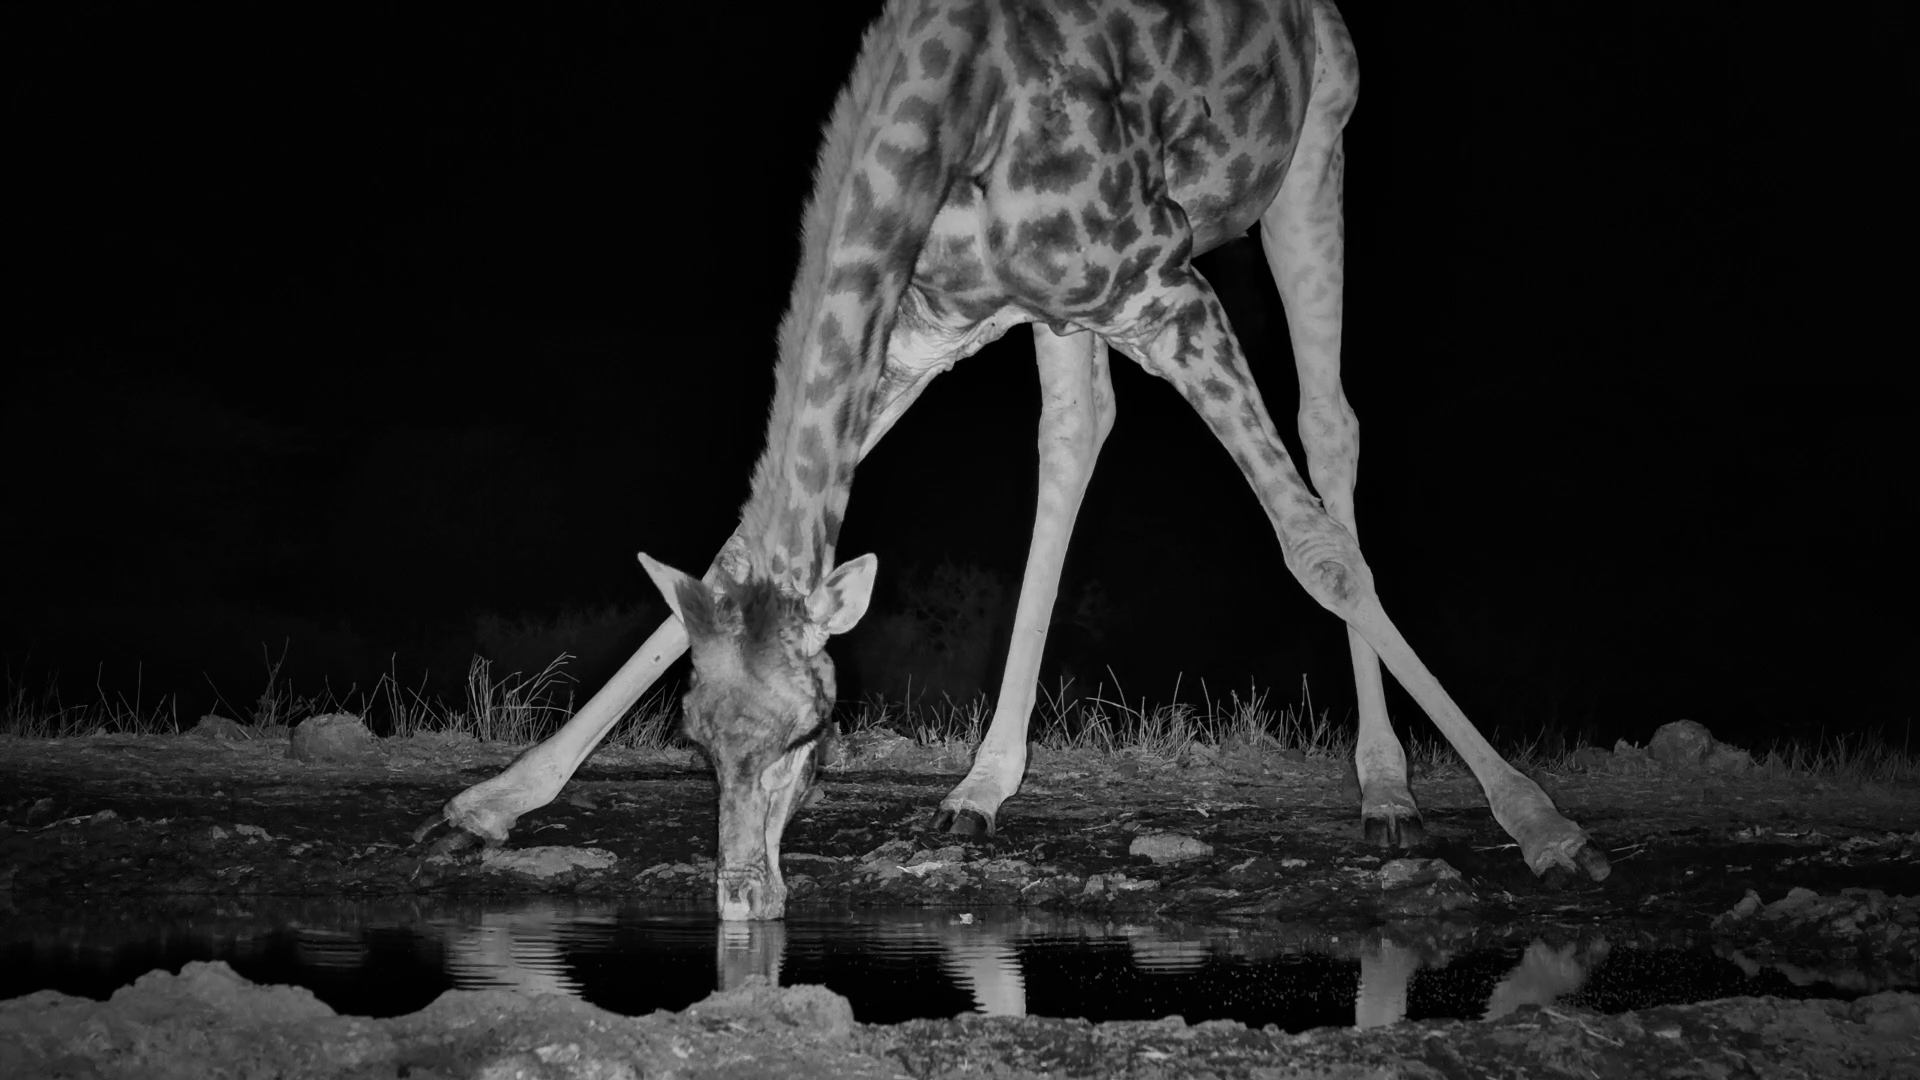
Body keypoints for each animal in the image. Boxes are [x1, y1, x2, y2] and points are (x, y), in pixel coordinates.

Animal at [418, 0, 1611, 920]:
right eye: (694, 742)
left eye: (814, 732)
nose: (743, 900)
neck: (953, 107)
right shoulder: (928, 325)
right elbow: (721, 562)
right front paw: (487, 805)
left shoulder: (1170, 289)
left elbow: (1312, 550)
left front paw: (1548, 828)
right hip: (1062, 305)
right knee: (1078, 431)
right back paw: (981, 789)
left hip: (1314, 151)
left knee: (1330, 429)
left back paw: (1390, 797)